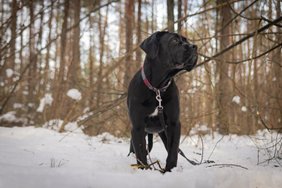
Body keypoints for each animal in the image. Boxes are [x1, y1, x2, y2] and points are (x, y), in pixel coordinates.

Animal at [126, 30, 197, 172]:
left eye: (186, 40)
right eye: (174, 41)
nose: (194, 47)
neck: (157, 88)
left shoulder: (174, 124)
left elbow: (173, 150)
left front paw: (169, 170)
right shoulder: (137, 126)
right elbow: (141, 152)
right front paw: (144, 170)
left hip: (164, 132)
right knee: (134, 150)